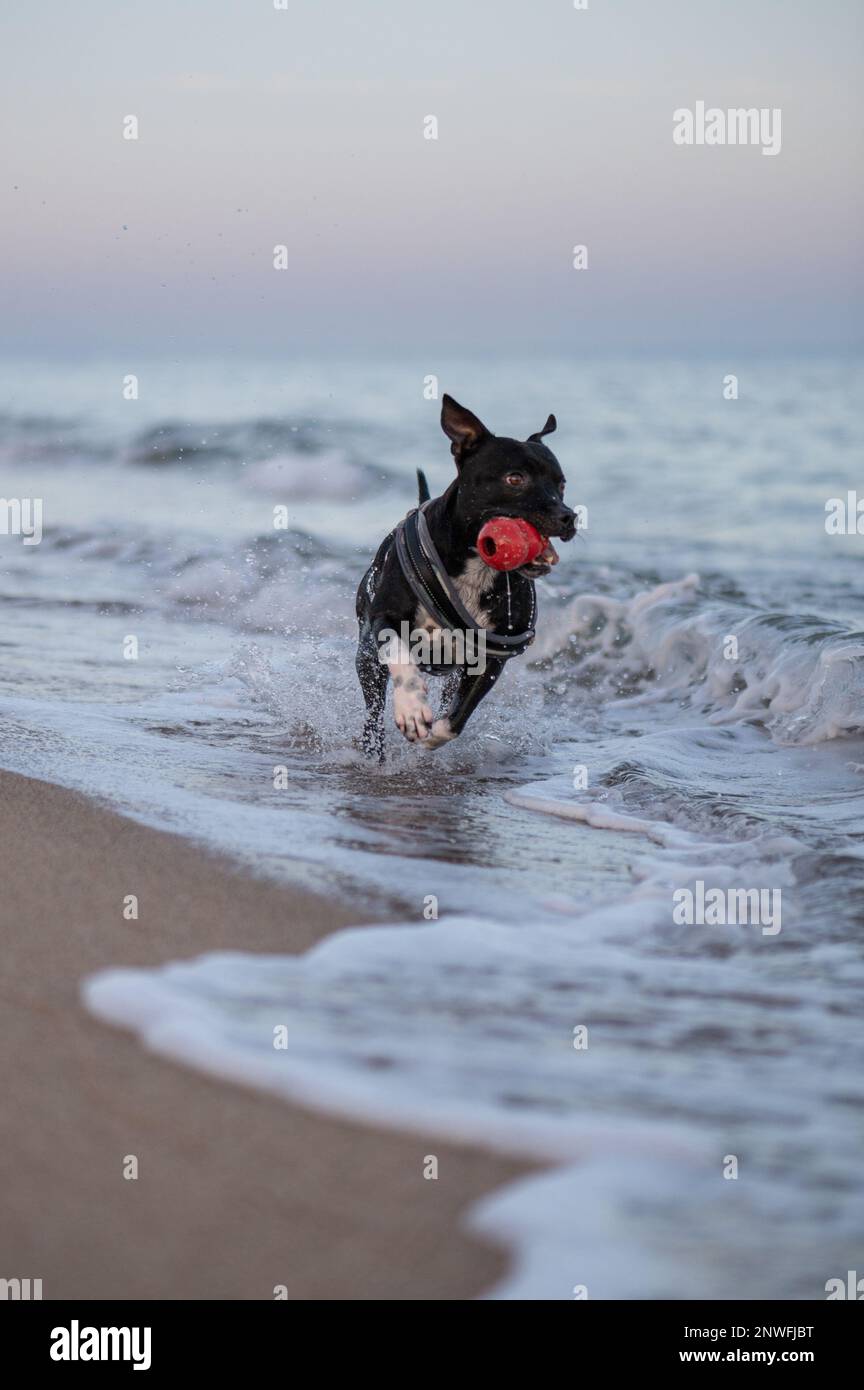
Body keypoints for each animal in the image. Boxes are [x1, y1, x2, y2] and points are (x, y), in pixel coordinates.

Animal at [355, 391, 577, 761]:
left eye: (560, 483)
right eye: (515, 478)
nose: (569, 516)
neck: (475, 567)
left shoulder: (490, 660)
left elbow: (457, 718)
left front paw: (433, 735)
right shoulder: (383, 617)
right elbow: (399, 654)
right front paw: (411, 708)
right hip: (367, 659)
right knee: (372, 713)